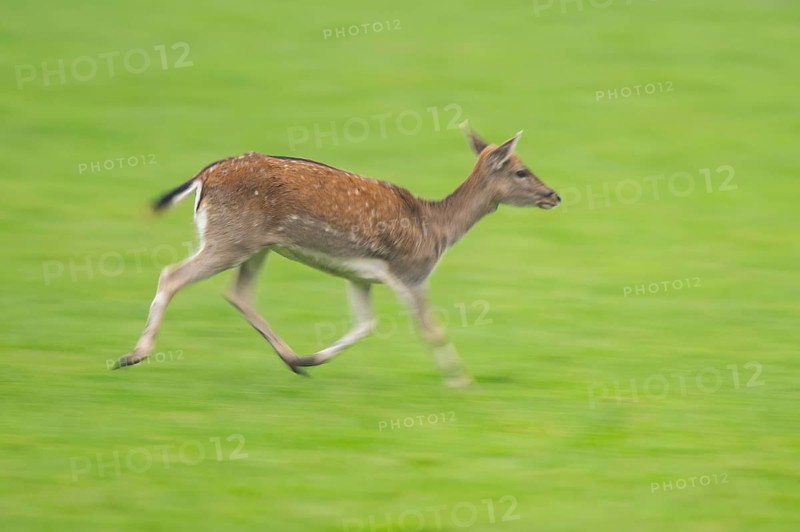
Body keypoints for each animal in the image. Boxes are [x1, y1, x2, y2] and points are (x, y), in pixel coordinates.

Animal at [113, 127, 560, 387]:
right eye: (520, 171)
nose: (554, 195)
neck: (436, 230)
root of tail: (202, 177)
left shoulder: (360, 276)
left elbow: (366, 325)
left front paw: (313, 357)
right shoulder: (411, 272)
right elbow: (429, 327)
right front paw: (462, 382)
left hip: (256, 245)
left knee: (237, 293)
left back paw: (294, 360)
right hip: (231, 238)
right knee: (172, 274)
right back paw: (132, 355)